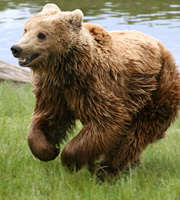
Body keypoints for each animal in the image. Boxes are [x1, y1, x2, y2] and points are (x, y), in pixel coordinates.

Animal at [10, 3, 180, 181]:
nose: (16, 48)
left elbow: (107, 121)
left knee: (136, 134)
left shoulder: (96, 87)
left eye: (41, 35)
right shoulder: (54, 90)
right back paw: (130, 166)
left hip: (156, 89)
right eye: (26, 29)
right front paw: (49, 149)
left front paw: (70, 161)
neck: (66, 69)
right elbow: (48, 117)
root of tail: (163, 48)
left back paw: (106, 170)